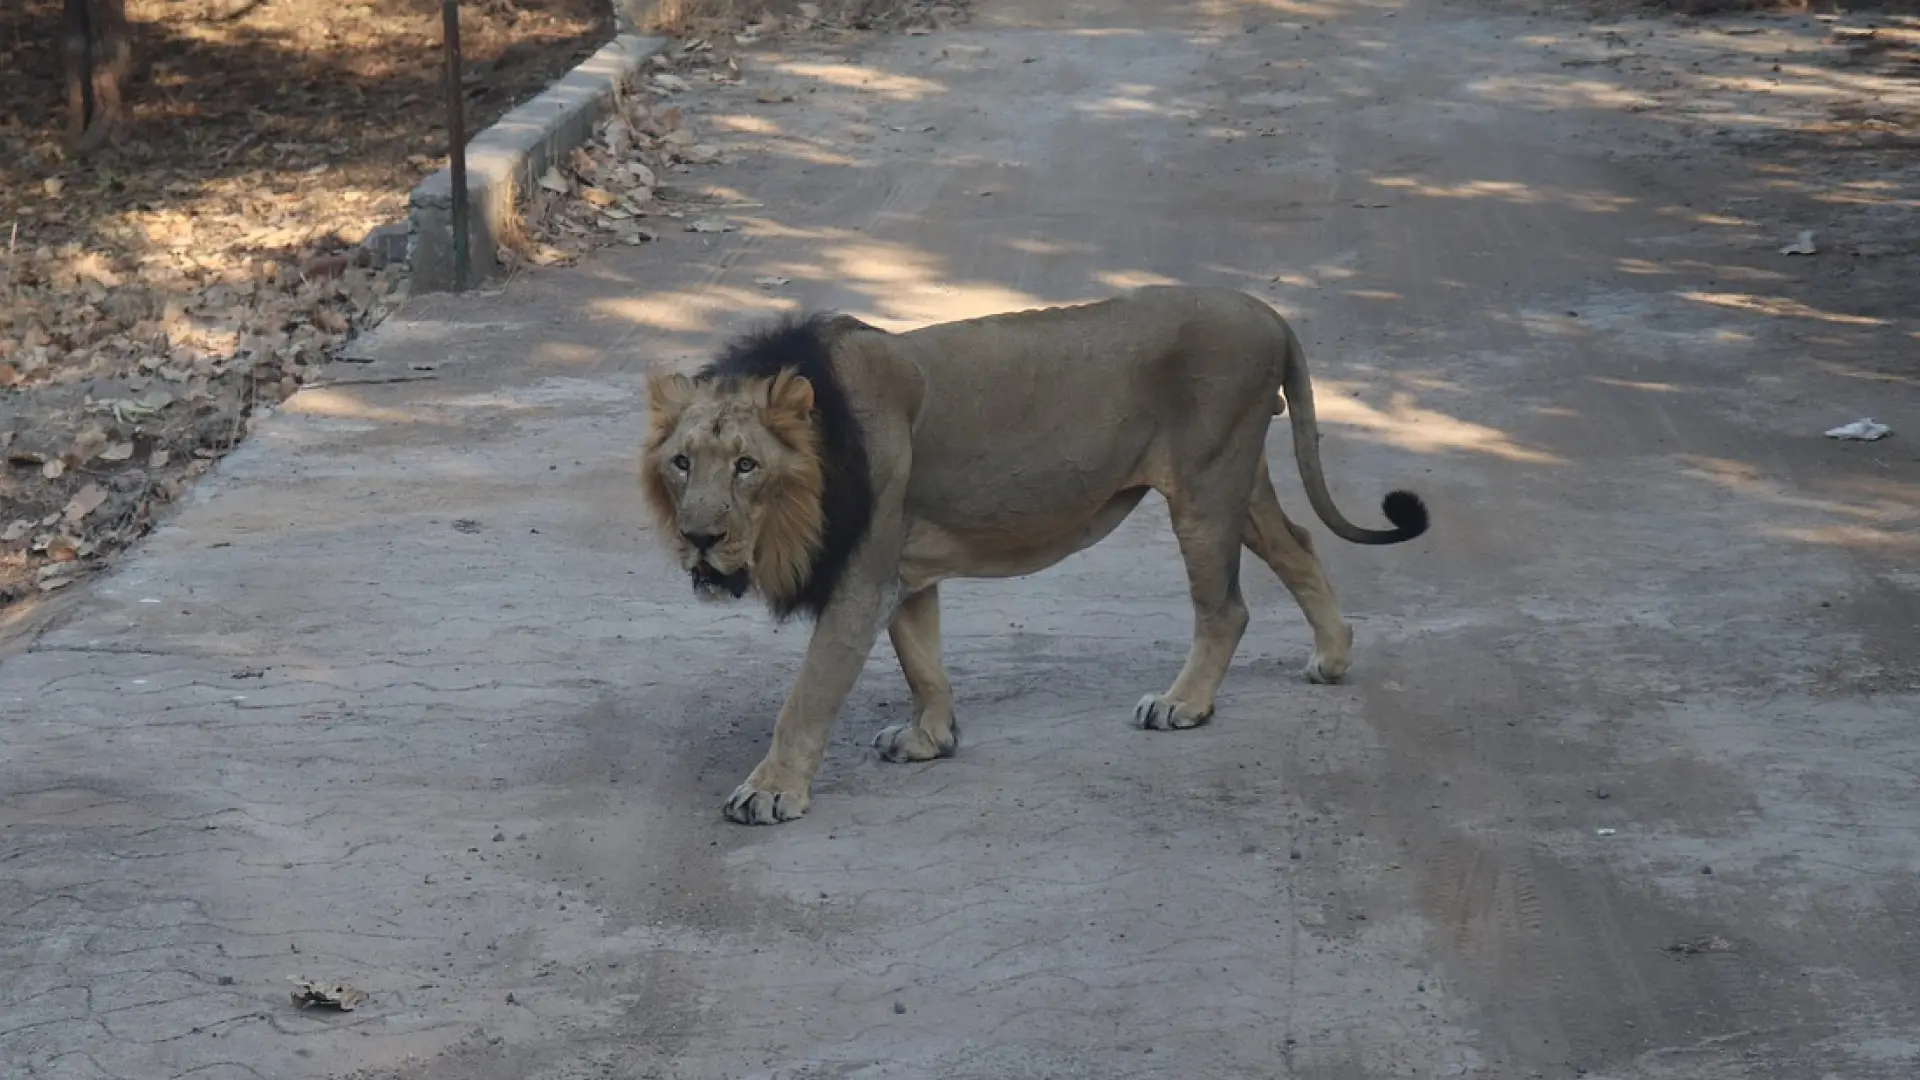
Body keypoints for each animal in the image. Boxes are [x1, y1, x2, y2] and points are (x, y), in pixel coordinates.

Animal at [641, 282, 1428, 818]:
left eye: (747, 466)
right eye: (682, 463)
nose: (699, 539)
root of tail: (1264, 310)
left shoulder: (861, 576)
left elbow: (807, 695)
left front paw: (770, 791)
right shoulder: (904, 565)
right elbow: (921, 656)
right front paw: (930, 737)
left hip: (1206, 488)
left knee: (1226, 608)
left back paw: (1183, 704)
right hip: (1237, 480)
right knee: (1297, 545)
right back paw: (1332, 656)